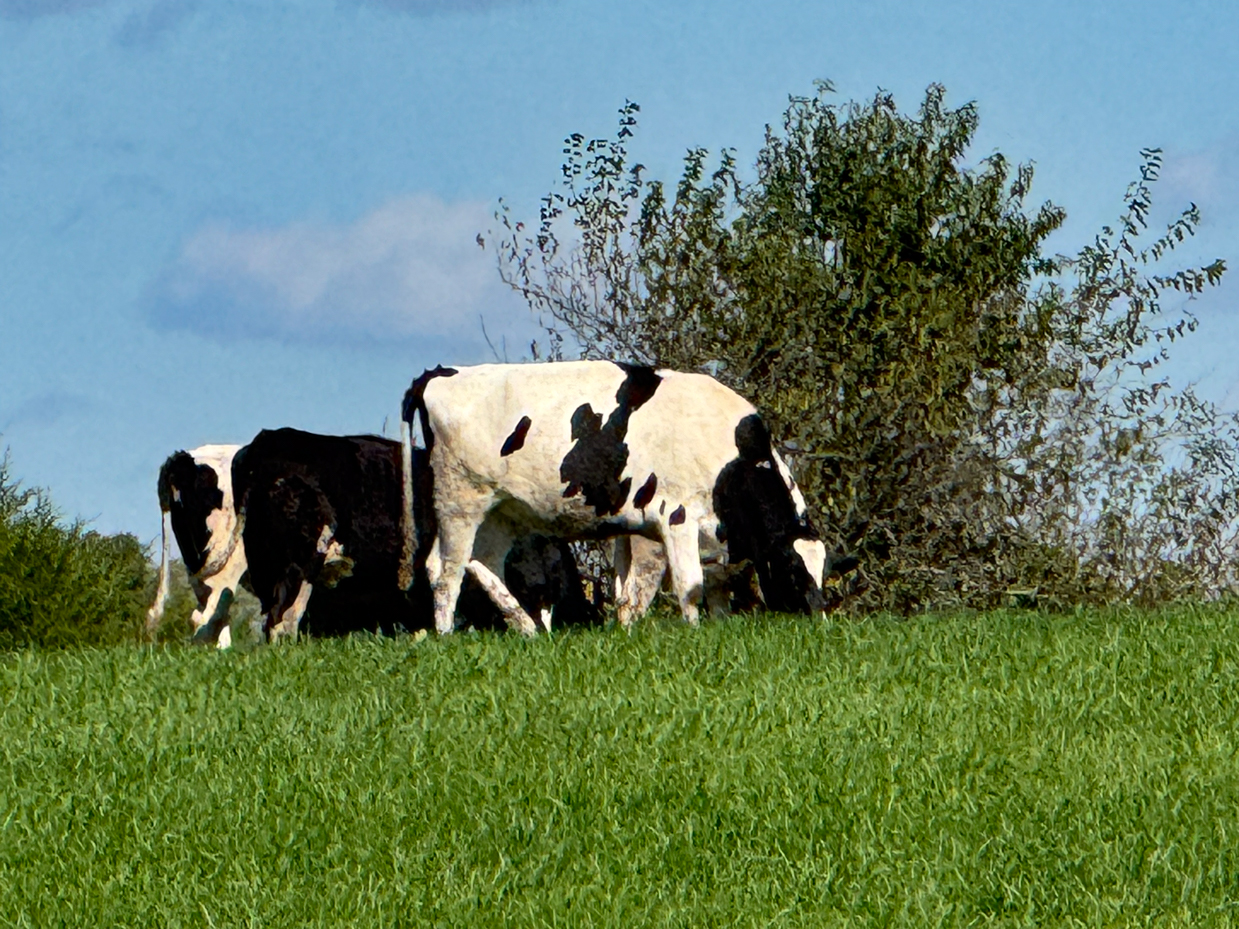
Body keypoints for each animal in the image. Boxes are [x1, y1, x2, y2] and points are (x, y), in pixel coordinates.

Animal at [403, 359, 832, 639]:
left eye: (823, 573)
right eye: (794, 570)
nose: (820, 617)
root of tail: (438, 373)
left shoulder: (644, 527)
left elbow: (638, 591)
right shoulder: (676, 517)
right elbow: (689, 585)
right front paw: (694, 633)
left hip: (502, 511)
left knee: (481, 561)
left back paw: (528, 630)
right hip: (459, 498)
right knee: (446, 571)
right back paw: (446, 636)